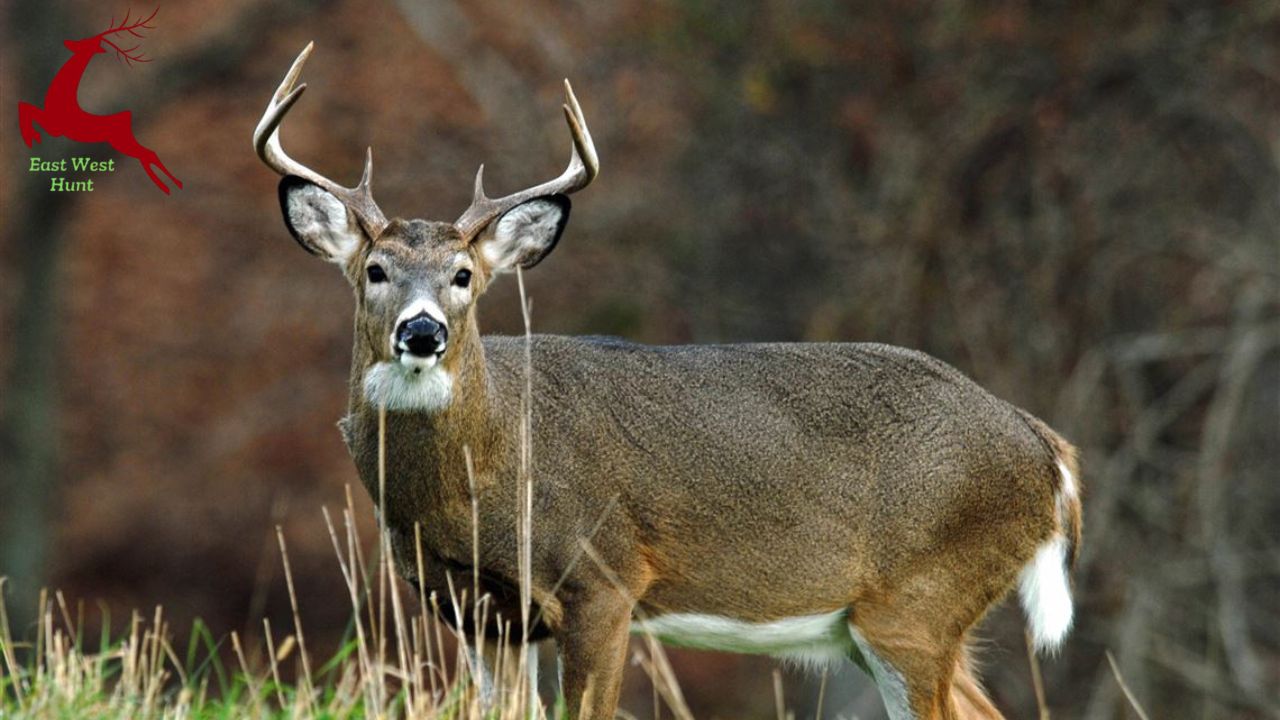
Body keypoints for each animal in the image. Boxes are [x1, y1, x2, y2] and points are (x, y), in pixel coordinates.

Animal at [16, 9, 183, 193]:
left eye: (85, 42)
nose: (68, 41)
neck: (62, 98)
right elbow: (25, 107)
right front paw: (33, 137)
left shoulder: (55, 126)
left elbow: (26, 108)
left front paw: (32, 137)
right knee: (148, 153)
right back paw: (171, 186)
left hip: (121, 141)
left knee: (148, 153)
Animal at [257, 41, 1080, 712]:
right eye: (375, 270)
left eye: (463, 275)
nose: (422, 331)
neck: (481, 475)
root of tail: (1050, 454)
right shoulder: (473, 607)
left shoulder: (603, 580)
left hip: (918, 600)